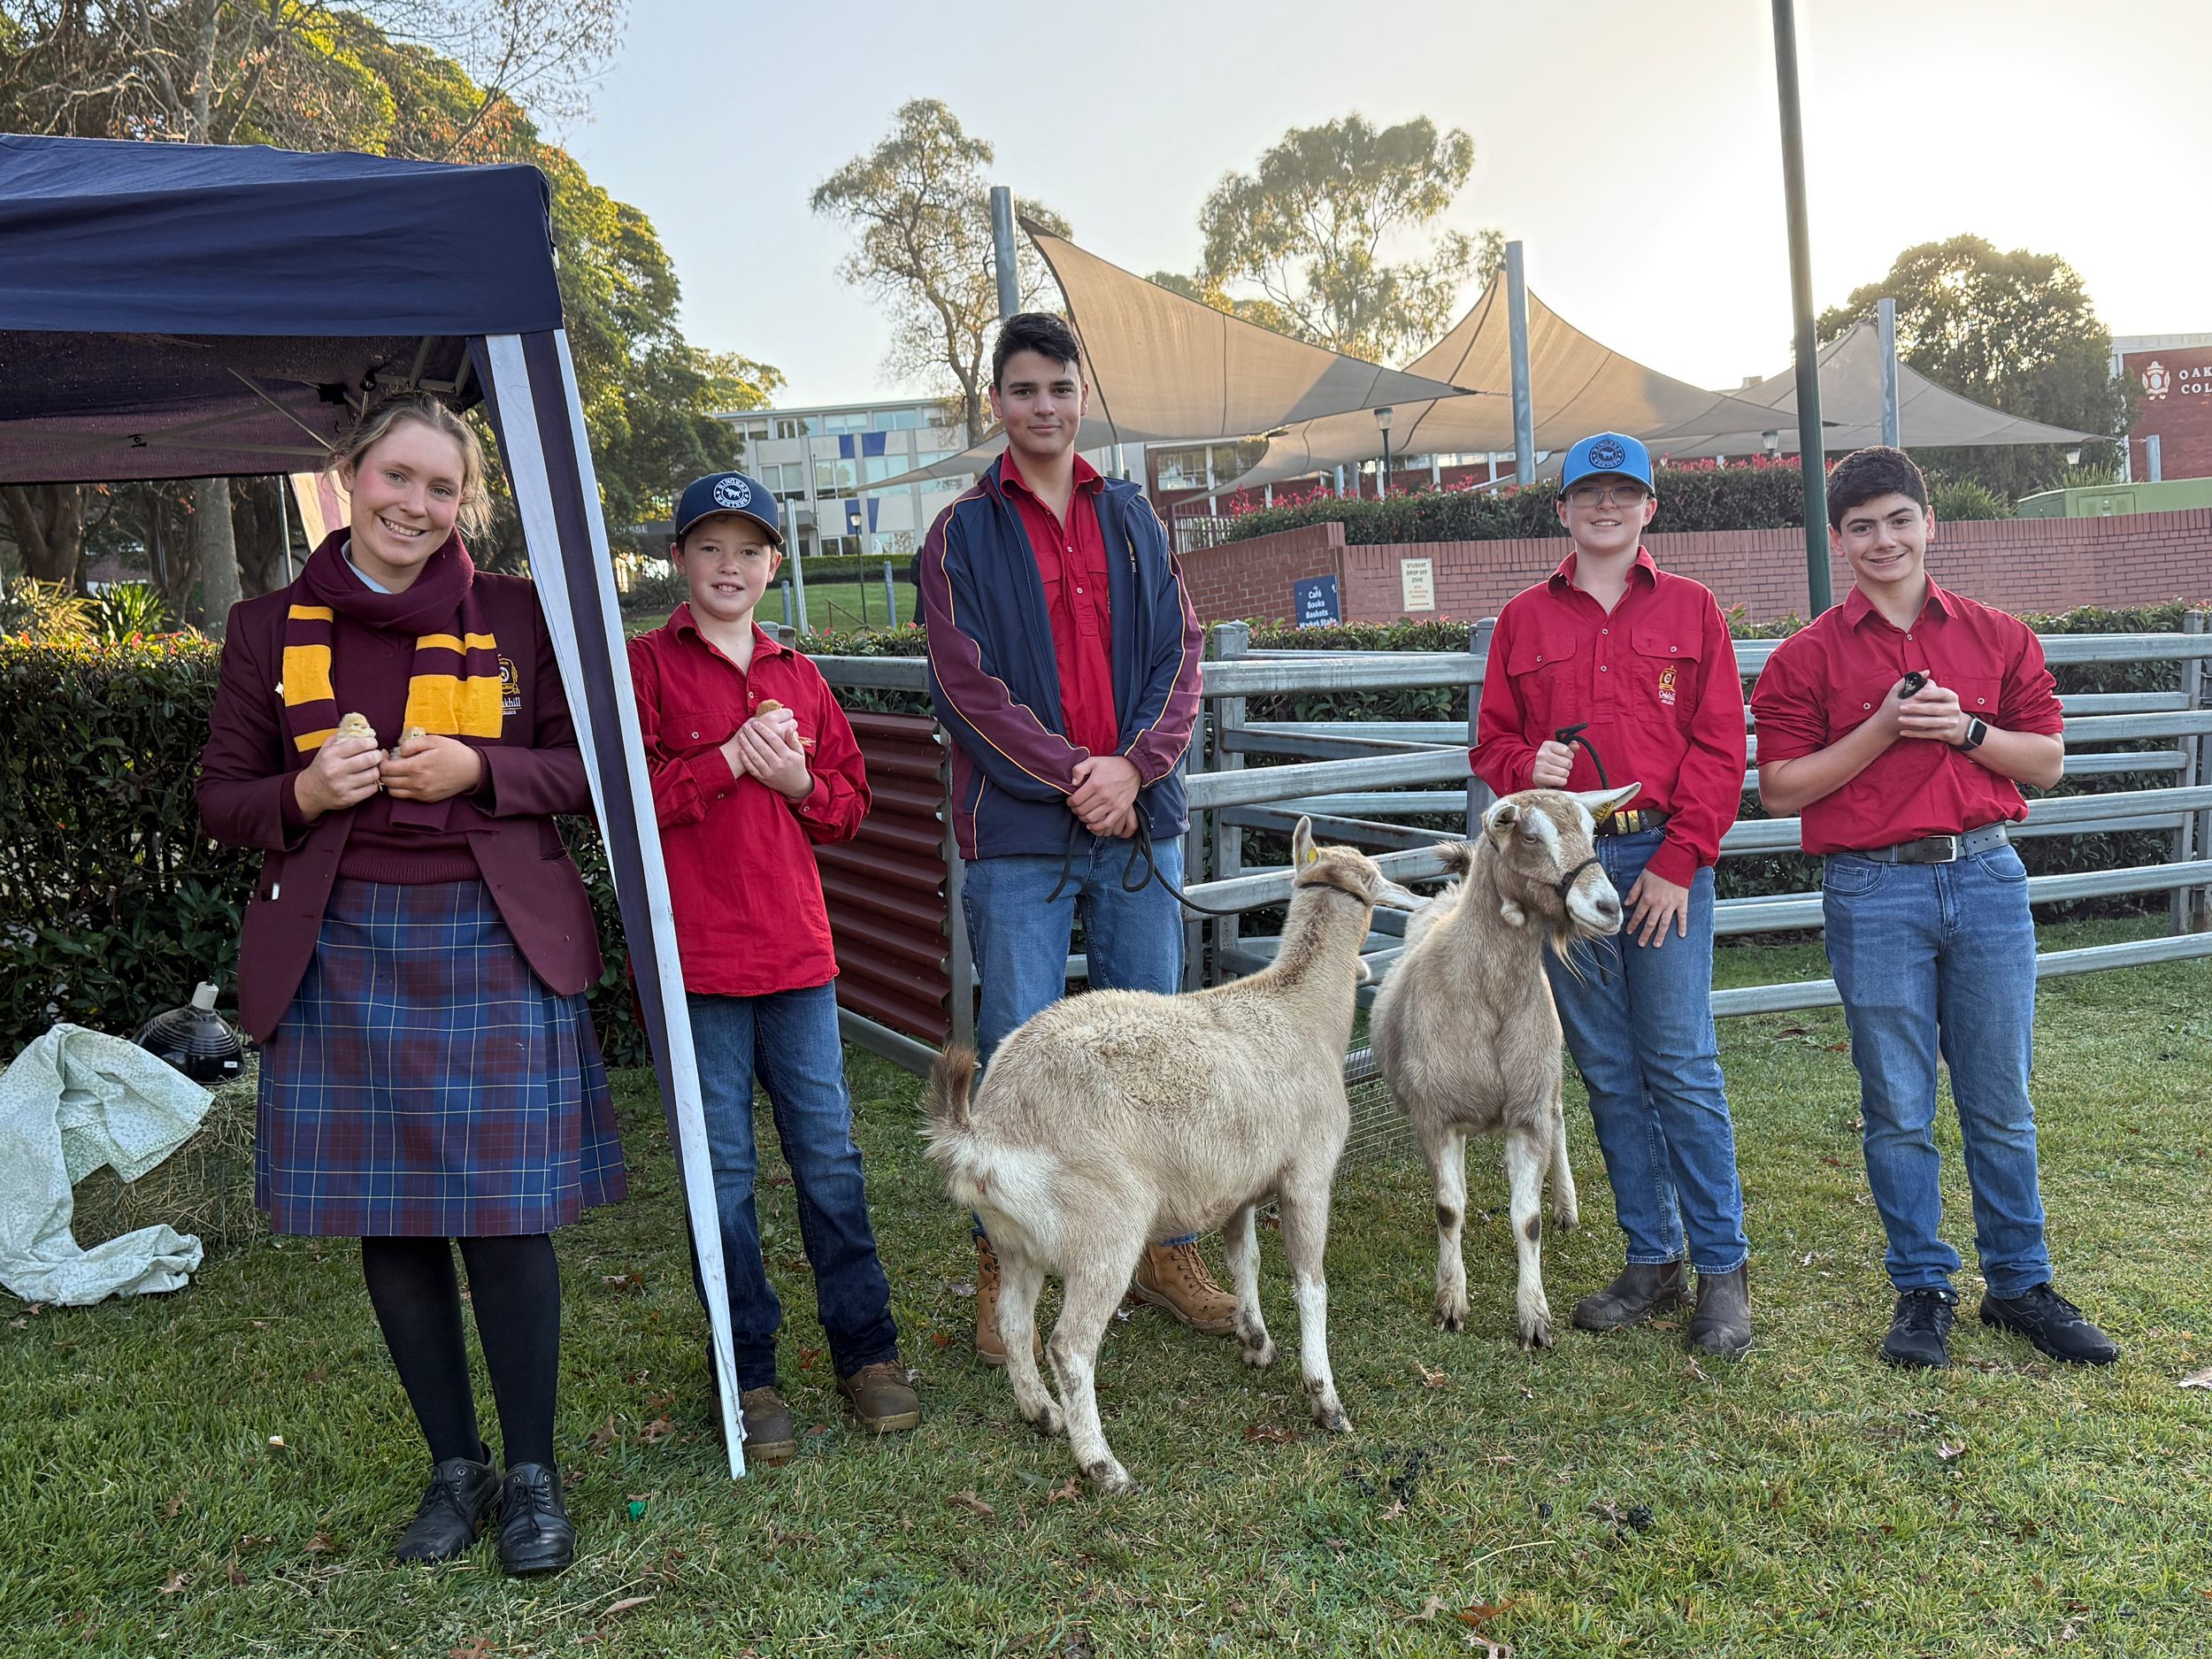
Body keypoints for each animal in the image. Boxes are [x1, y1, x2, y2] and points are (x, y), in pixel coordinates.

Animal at [923, 818, 1421, 1492]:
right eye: (1375, 882)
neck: (1302, 1011)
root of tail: (988, 1130)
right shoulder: (1308, 1175)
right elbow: (1310, 1285)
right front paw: (1326, 1400)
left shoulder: (1239, 1184)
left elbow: (1245, 1261)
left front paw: (1255, 1340)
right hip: (1104, 1228)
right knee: (1069, 1346)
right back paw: (1102, 1464)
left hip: (1018, 1238)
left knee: (1013, 1322)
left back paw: (1042, 1413)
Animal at [1370, 785, 1638, 1348]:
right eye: (1529, 835)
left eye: (1594, 830)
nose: (1608, 907)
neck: (1490, 1000)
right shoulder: (1437, 1118)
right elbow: (1449, 1209)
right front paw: (1451, 1304)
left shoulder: (1528, 1116)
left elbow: (1527, 1220)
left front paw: (1534, 1319)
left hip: (1547, 1082)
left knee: (1560, 1124)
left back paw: (1566, 1208)